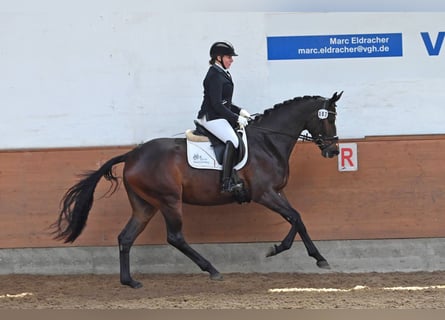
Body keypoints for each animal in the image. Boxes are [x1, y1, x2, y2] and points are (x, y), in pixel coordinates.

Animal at [52, 91, 344, 288]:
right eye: (328, 120)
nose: (333, 151)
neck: (268, 141)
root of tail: (132, 155)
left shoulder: (277, 192)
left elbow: (298, 219)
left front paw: (318, 258)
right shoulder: (265, 194)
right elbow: (294, 217)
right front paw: (278, 249)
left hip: (145, 205)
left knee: (126, 237)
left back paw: (130, 282)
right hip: (169, 200)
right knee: (175, 237)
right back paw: (212, 269)